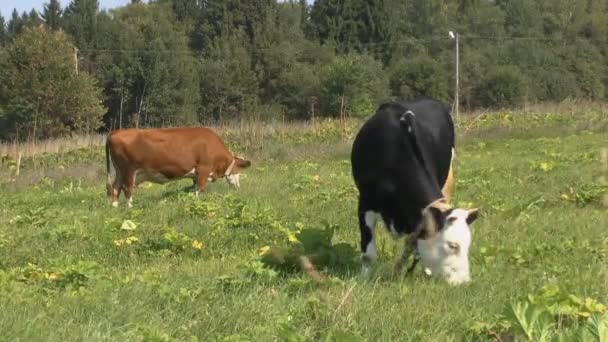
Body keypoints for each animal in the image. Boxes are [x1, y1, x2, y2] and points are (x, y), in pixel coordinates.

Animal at [105, 127, 251, 207]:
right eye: (237, 170)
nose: (238, 187)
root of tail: (115, 132)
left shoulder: (196, 174)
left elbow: (195, 187)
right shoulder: (203, 168)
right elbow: (200, 189)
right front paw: (197, 203)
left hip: (119, 171)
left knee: (115, 188)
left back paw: (114, 207)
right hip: (128, 170)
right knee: (127, 188)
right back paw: (130, 206)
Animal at [352, 97, 480, 286]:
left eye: (468, 243)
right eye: (452, 245)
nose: (464, 282)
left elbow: (412, 244)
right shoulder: (365, 201)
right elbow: (368, 253)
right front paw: (364, 278)